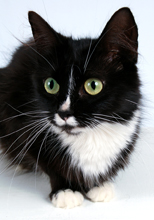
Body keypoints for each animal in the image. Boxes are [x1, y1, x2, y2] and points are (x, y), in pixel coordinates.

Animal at [0, 7, 141, 209]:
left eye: (93, 85)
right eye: (51, 85)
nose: (64, 113)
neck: (89, 136)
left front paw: (99, 185)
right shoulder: (18, 117)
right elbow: (48, 163)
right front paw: (65, 190)